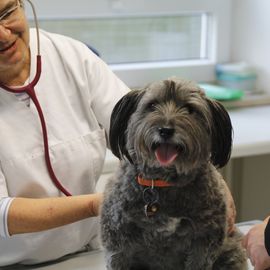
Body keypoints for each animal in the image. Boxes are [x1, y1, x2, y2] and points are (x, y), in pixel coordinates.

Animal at [100, 78, 247, 270]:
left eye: (190, 109)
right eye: (152, 105)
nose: (165, 130)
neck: (163, 182)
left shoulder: (205, 240)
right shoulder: (117, 240)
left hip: (232, 252)